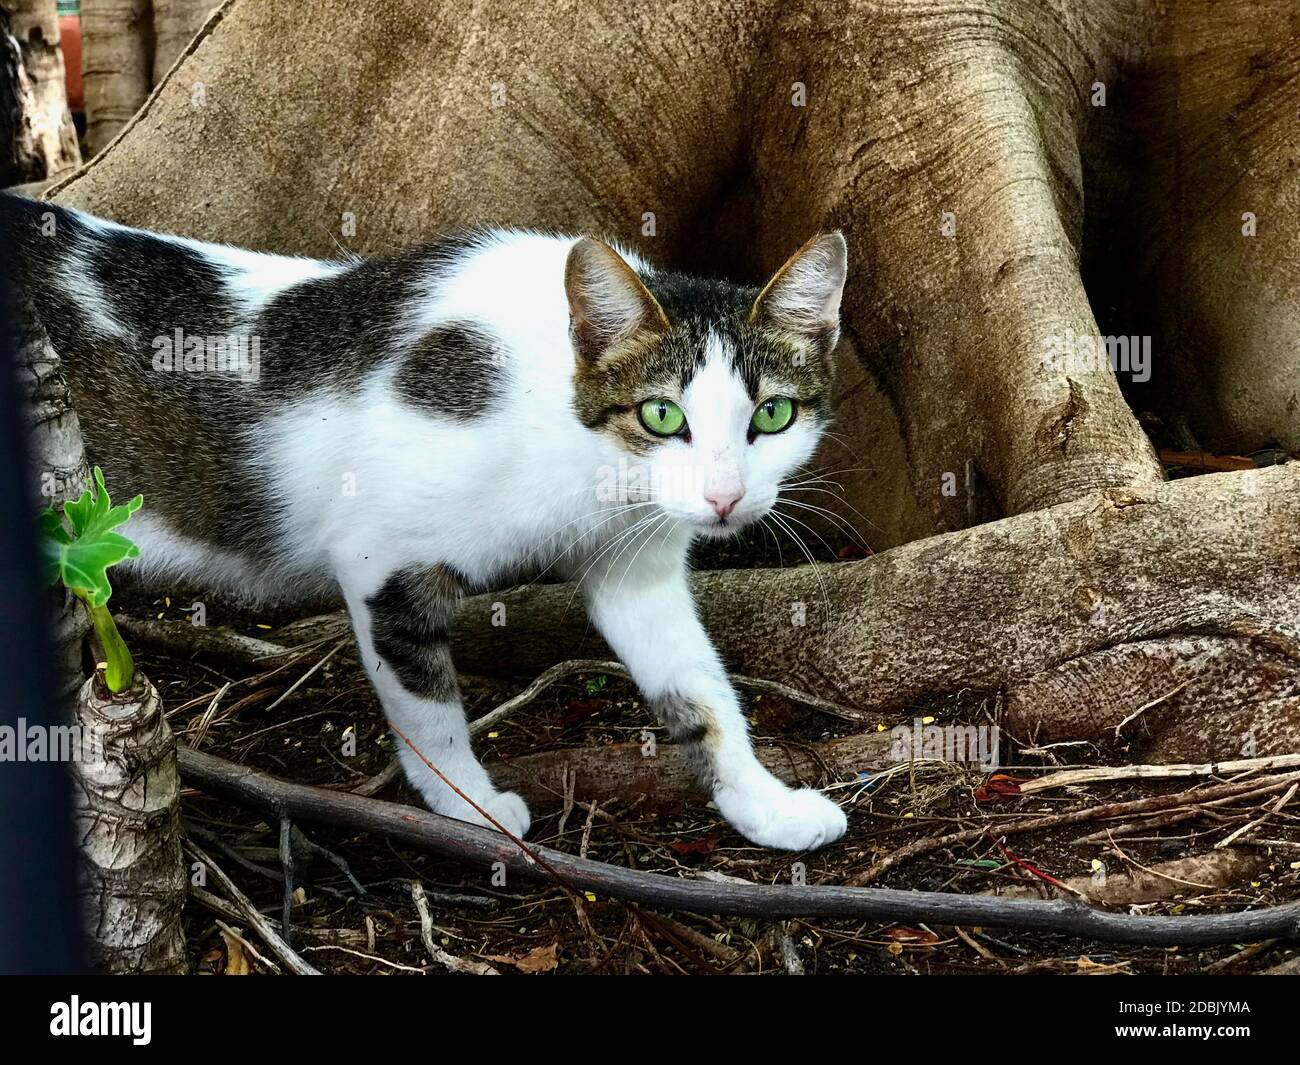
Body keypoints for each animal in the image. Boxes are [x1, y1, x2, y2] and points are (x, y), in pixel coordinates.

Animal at [5, 191, 852, 853]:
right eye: (662, 415)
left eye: (773, 415)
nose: (725, 498)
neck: (581, 444)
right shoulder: (379, 556)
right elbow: (428, 703)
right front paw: (469, 805)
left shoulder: (637, 568)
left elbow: (702, 690)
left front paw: (762, 803)